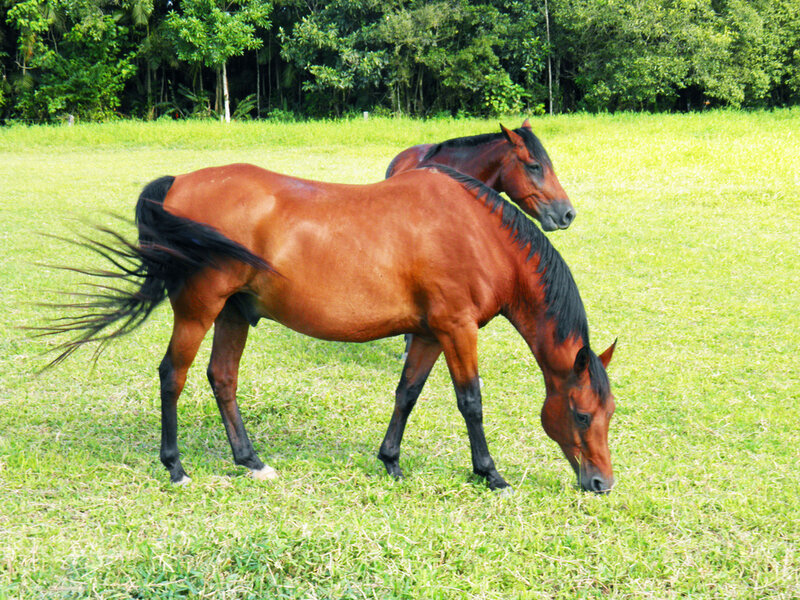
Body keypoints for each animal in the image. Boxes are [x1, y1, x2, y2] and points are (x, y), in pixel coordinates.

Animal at [39, 164, 617, 493]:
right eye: (582, 415)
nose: (601, 483)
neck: (477, 234)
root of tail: (178, 184)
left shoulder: (431, 333)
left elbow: (407, 393)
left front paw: (391, 461)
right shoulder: (457, 330)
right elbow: (470, 401)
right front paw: (489, 473)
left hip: (233, 312)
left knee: (222, 379)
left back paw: (252, 462)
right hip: (199, 310)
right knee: (172, 377)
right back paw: (176, 468)